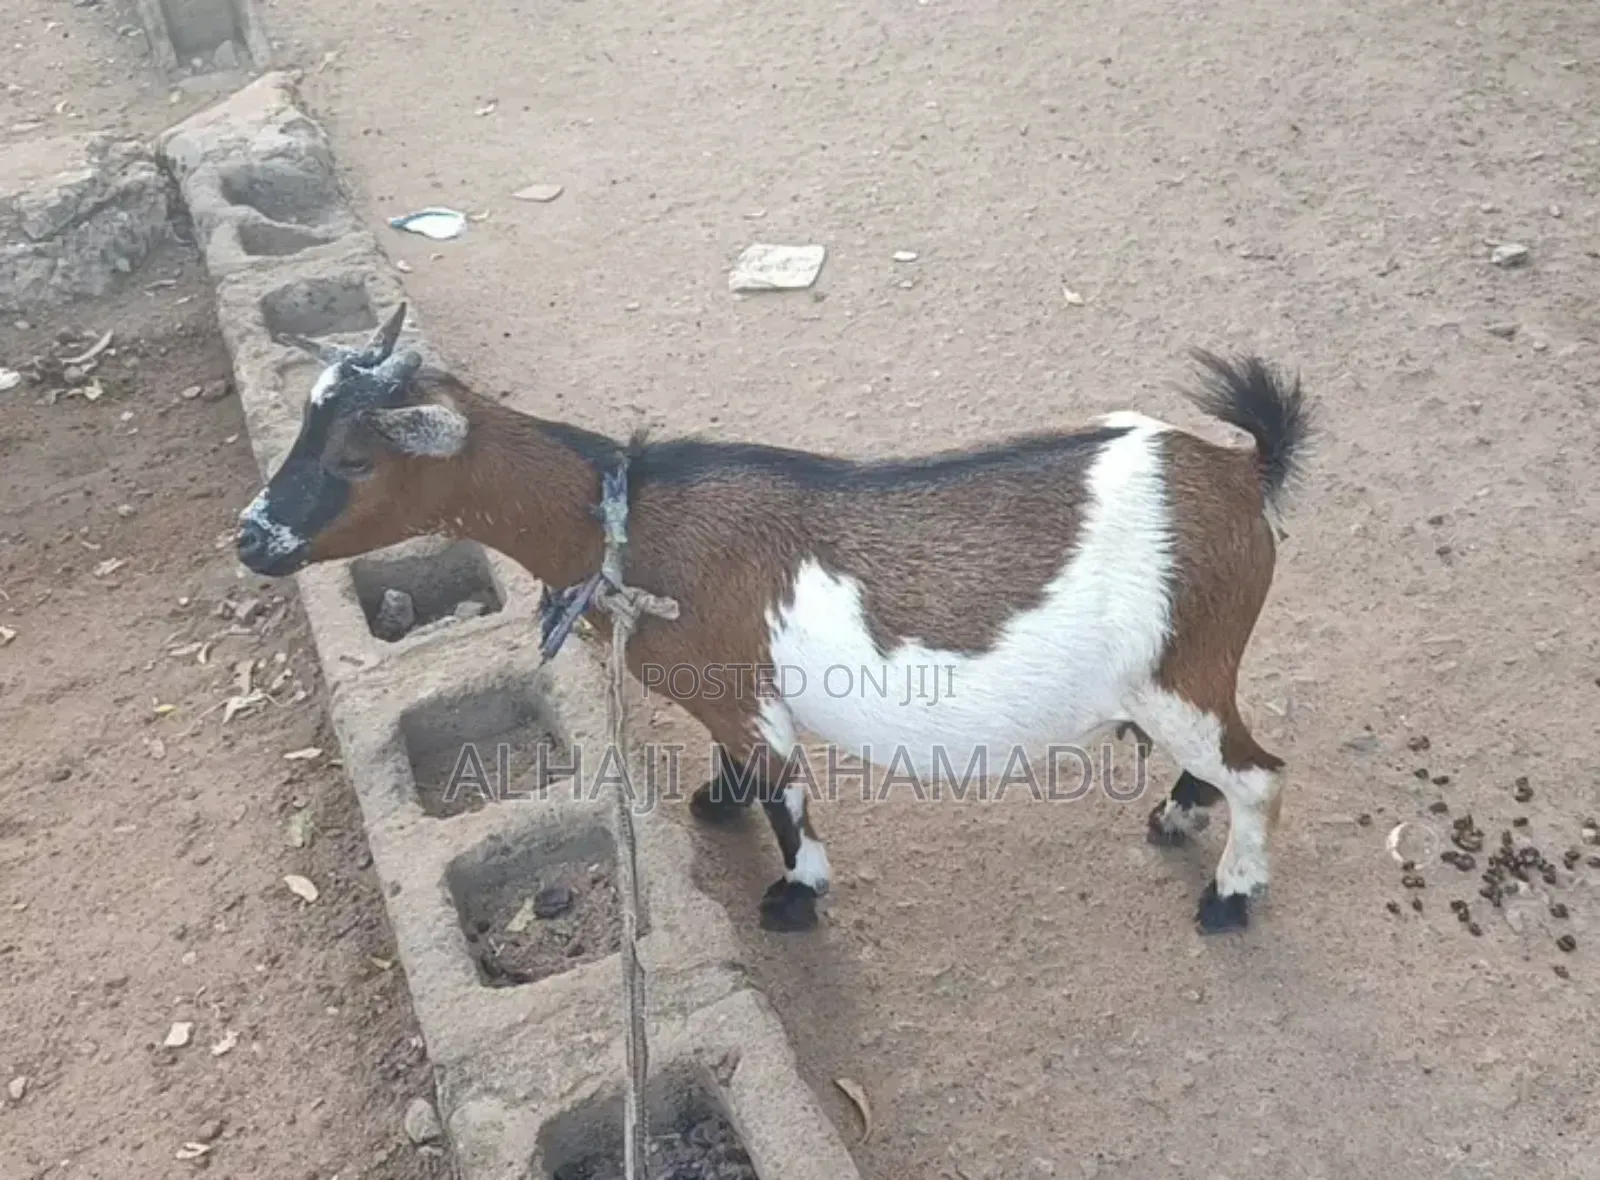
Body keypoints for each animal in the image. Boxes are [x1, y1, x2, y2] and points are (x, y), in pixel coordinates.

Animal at [237, 304, 1312, 935]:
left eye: (355, 460)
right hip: (1187, 672)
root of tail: (1240, 473)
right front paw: (716, 802)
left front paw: (796, 895)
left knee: (1260, 772)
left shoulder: (743, 694)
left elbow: (785, 791)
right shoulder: (724, 698)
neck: (630, 523)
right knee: (1223, 753)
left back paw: (1229, 895)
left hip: (1181, 666)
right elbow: (744, 775)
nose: (251, 537)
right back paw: (1177, 812)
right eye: (302, 433)